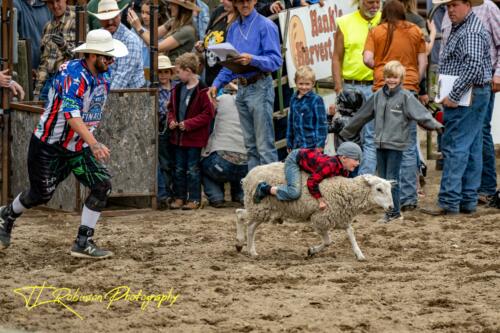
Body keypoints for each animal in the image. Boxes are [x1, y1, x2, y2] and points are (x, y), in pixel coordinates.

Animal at [235, 162, 394, 260]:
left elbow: (351, 234)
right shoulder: (320, 218)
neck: (344, 190)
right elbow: (328, 241)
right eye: (379, 189)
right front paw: (311, 251)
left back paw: (250, 250)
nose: (392, 207)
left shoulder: (341, 217)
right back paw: (240, 242)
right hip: (259, 207)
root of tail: (248, 175)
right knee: (240, 215)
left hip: (264, 210)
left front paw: (359, 254)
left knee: (250, 226)